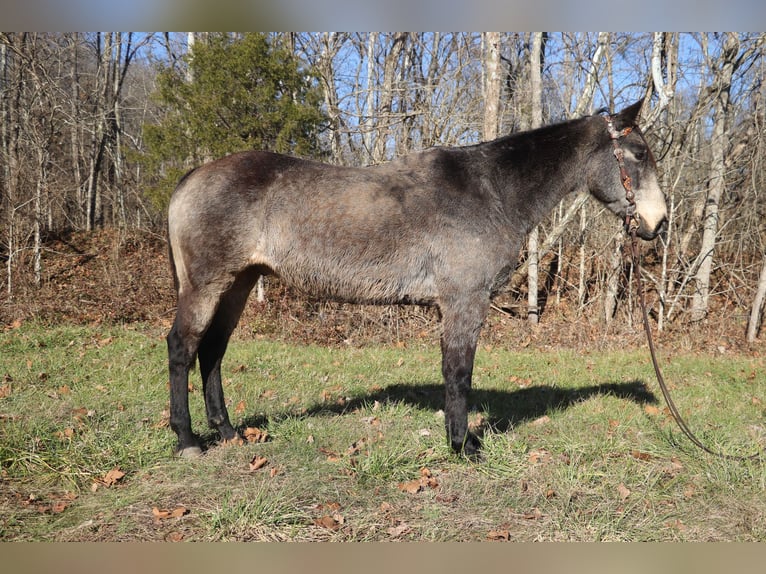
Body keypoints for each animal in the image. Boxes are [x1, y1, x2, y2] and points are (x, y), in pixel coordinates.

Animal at [165, 99, 668, 460]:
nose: (658, 223)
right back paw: (188, 441)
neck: (493, 191)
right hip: (207, 285)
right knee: (183, 347)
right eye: (639, 154)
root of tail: (191, 178)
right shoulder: (464, 302)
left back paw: (228, 432)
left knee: (213, 351)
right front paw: (463, 447)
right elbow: (459, 373)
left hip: (239, 284)